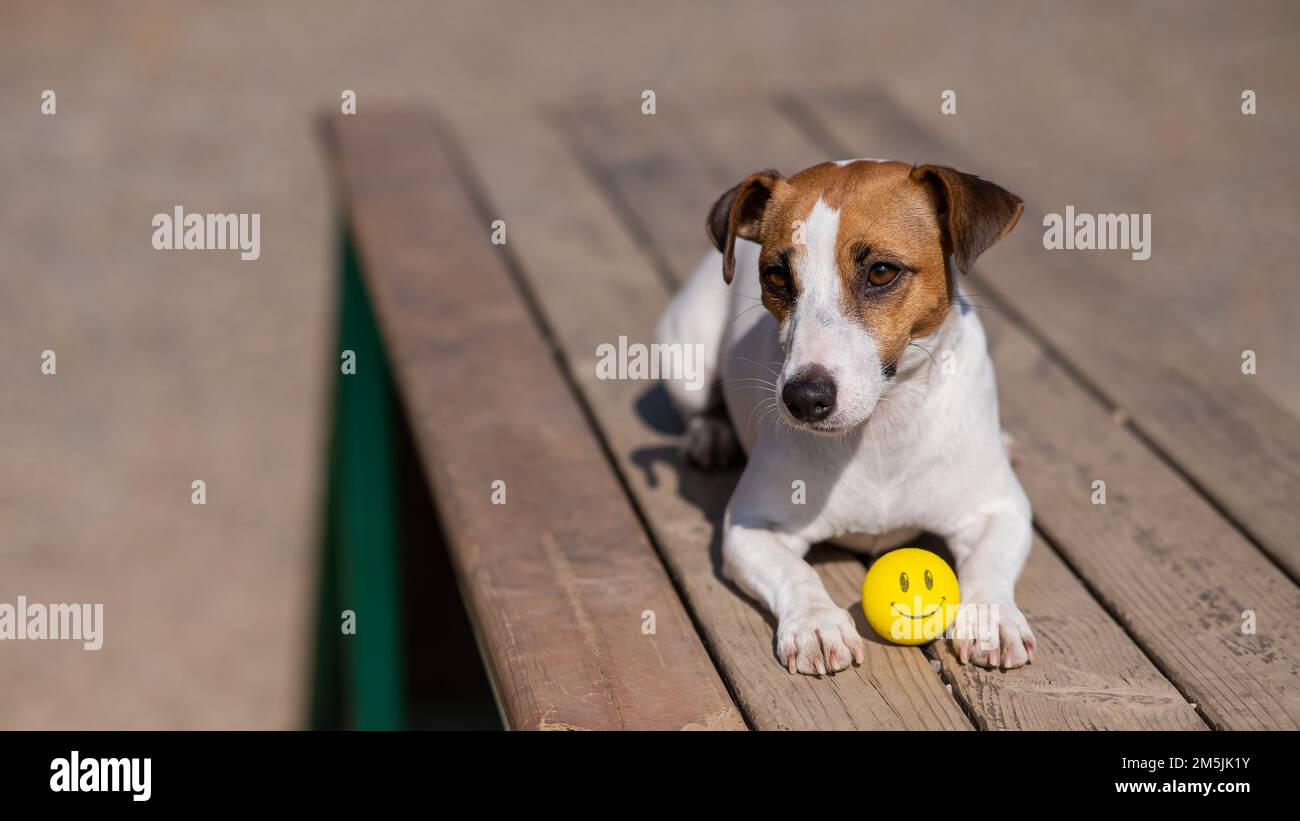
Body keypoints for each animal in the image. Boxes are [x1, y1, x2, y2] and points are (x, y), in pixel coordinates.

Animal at [660, 158, 1034, 675]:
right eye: (776, 276)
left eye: (881, 272)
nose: (803, 398)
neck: (880, 427)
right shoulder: (750, 528)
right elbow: (796, 573)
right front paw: (816, 624)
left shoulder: (1001, 510)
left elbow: (988, 565)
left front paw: (990, 617)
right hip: (684, 356)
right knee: (698, 405)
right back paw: (710, 435)